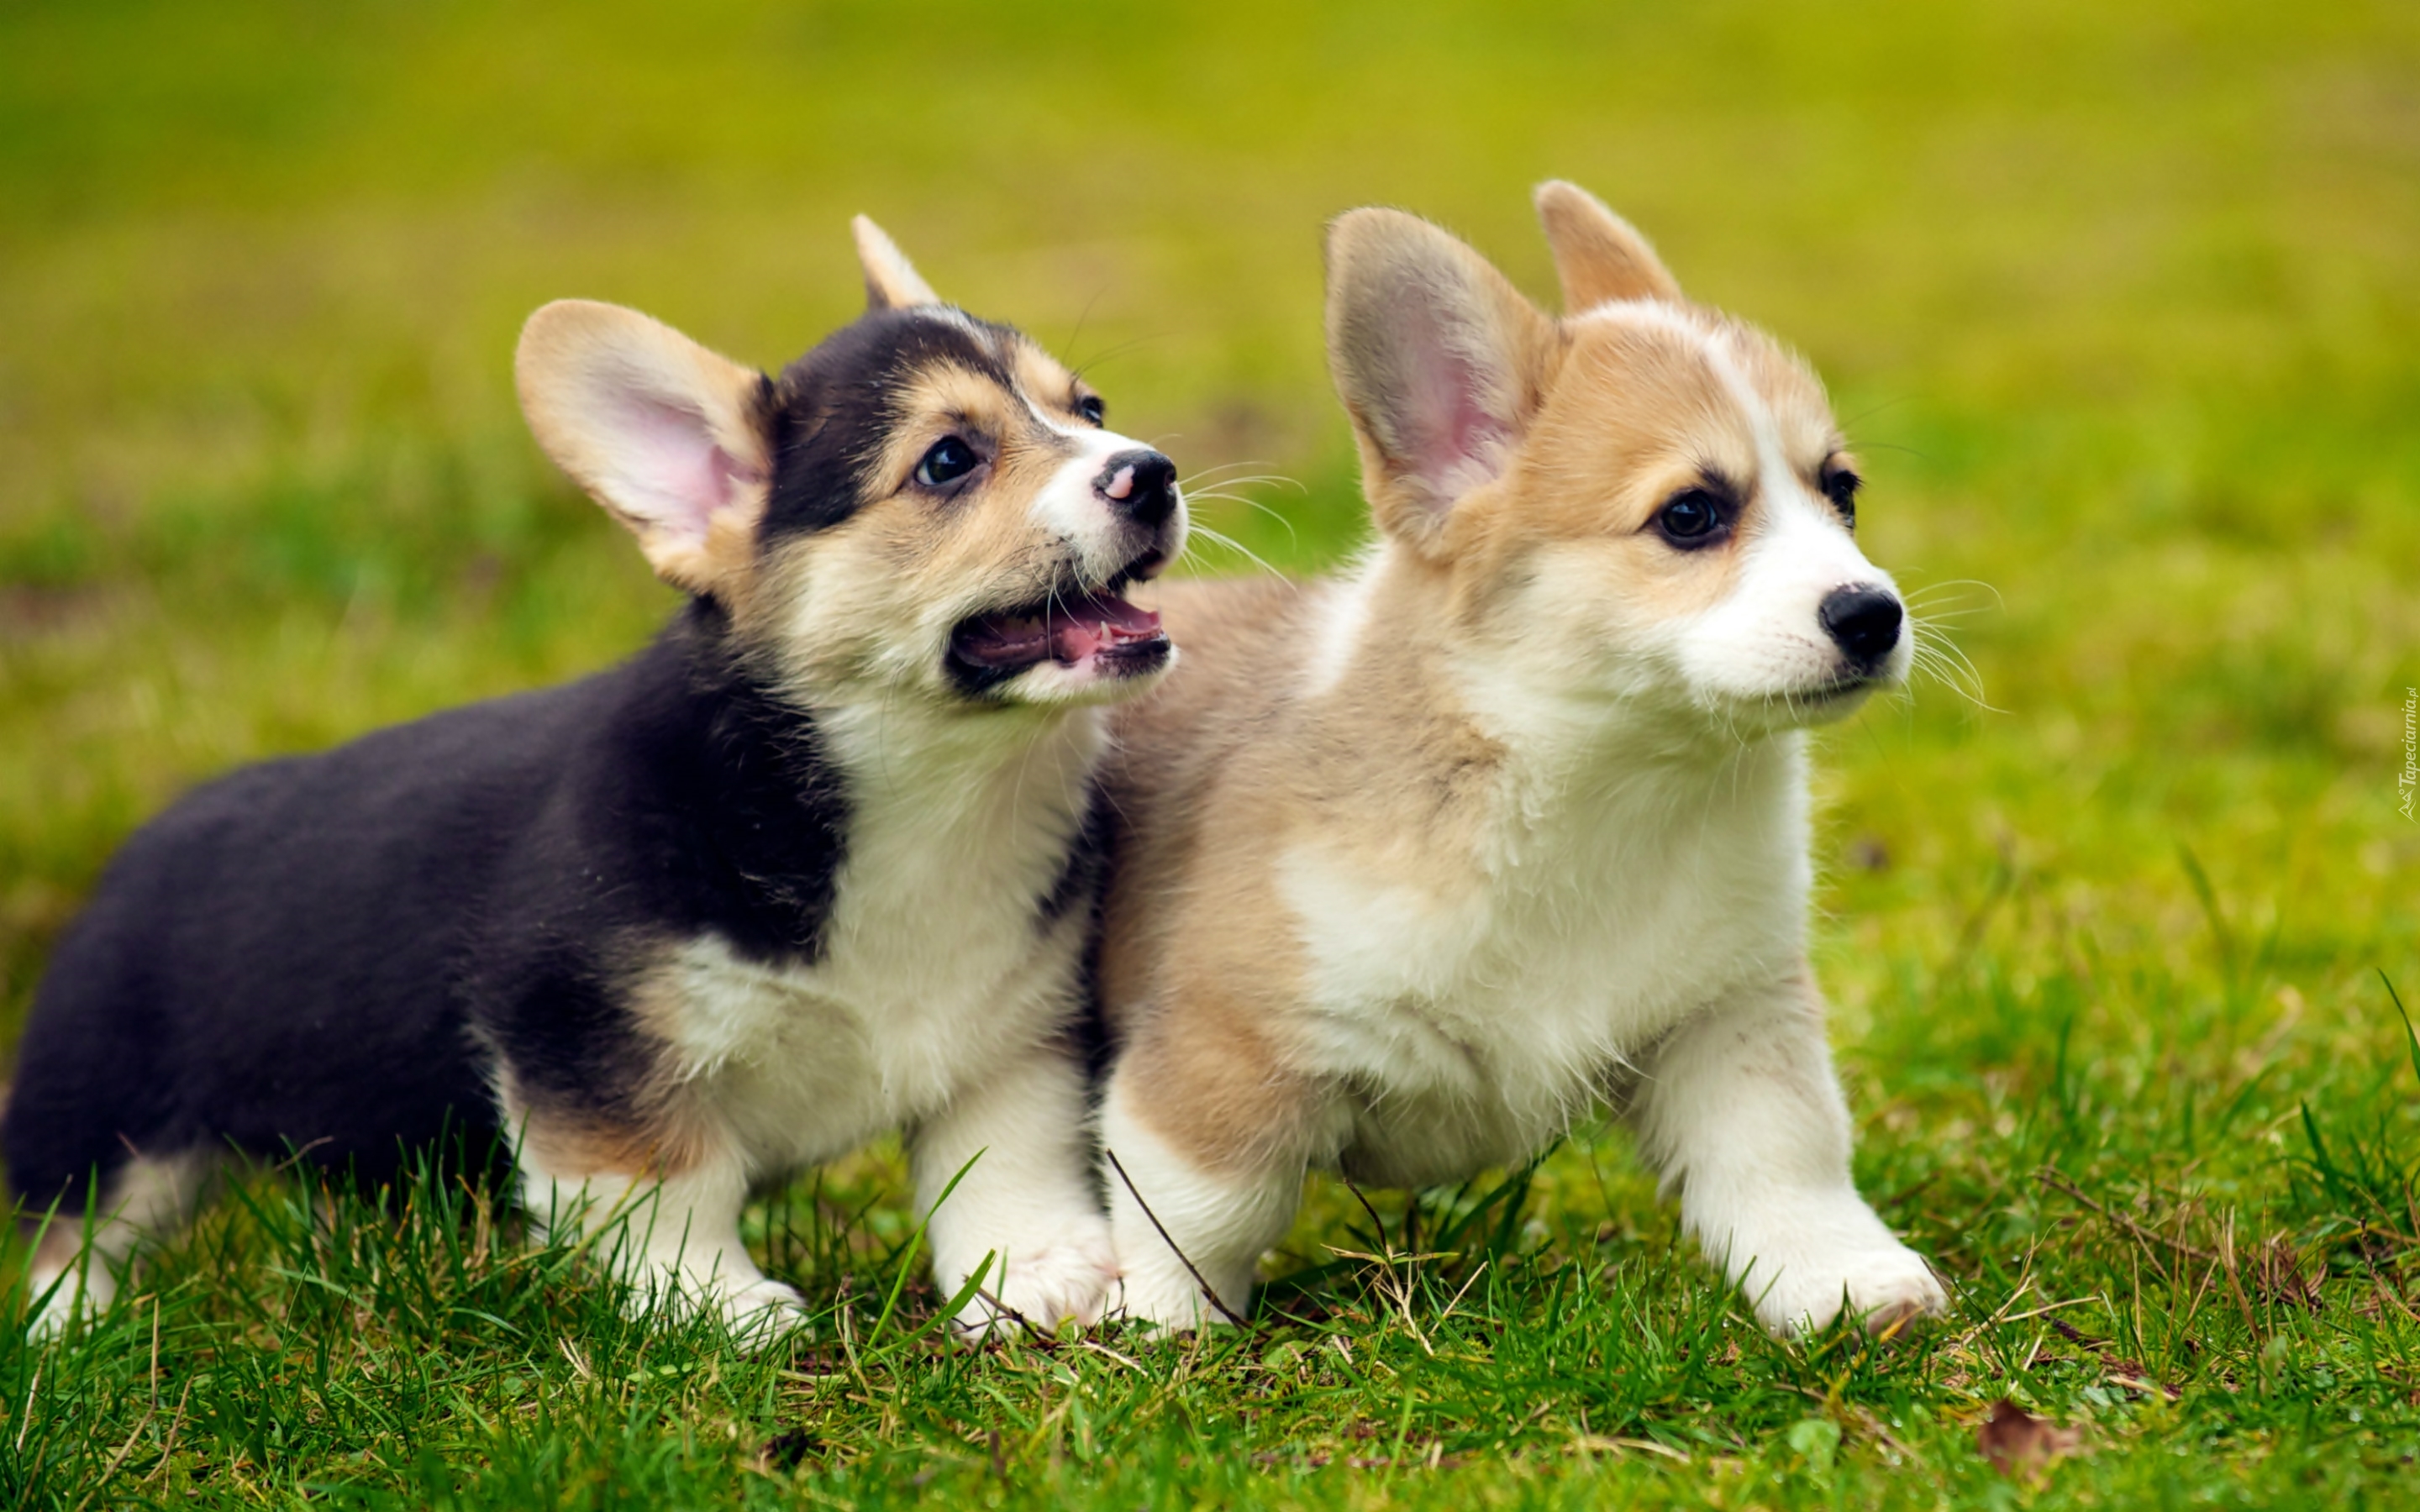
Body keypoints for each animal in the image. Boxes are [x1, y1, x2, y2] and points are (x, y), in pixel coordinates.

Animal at [9, 218, 1181, 1335]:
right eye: (947, 461)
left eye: (1088, 406)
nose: (1153, 472)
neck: (922, 785)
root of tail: (152, 836)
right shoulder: (581, 1042)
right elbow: (666, 1185)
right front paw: (720, 1304)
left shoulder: (1008, 1036)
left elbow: (1003, 1162)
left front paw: (1040, 1274)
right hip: (103, 1115)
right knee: (69, 1235)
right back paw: (71, 1334)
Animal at [1093, 186, 1945, 1335]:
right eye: (1692, 515)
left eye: (1841, 492)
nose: (1873, 615)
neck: (1604, 786)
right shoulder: (1227, 1044)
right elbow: (1196, 1210)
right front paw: (1153, 1331)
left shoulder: (1732, 1014)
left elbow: (1786, 1155)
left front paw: (1845, 1282)